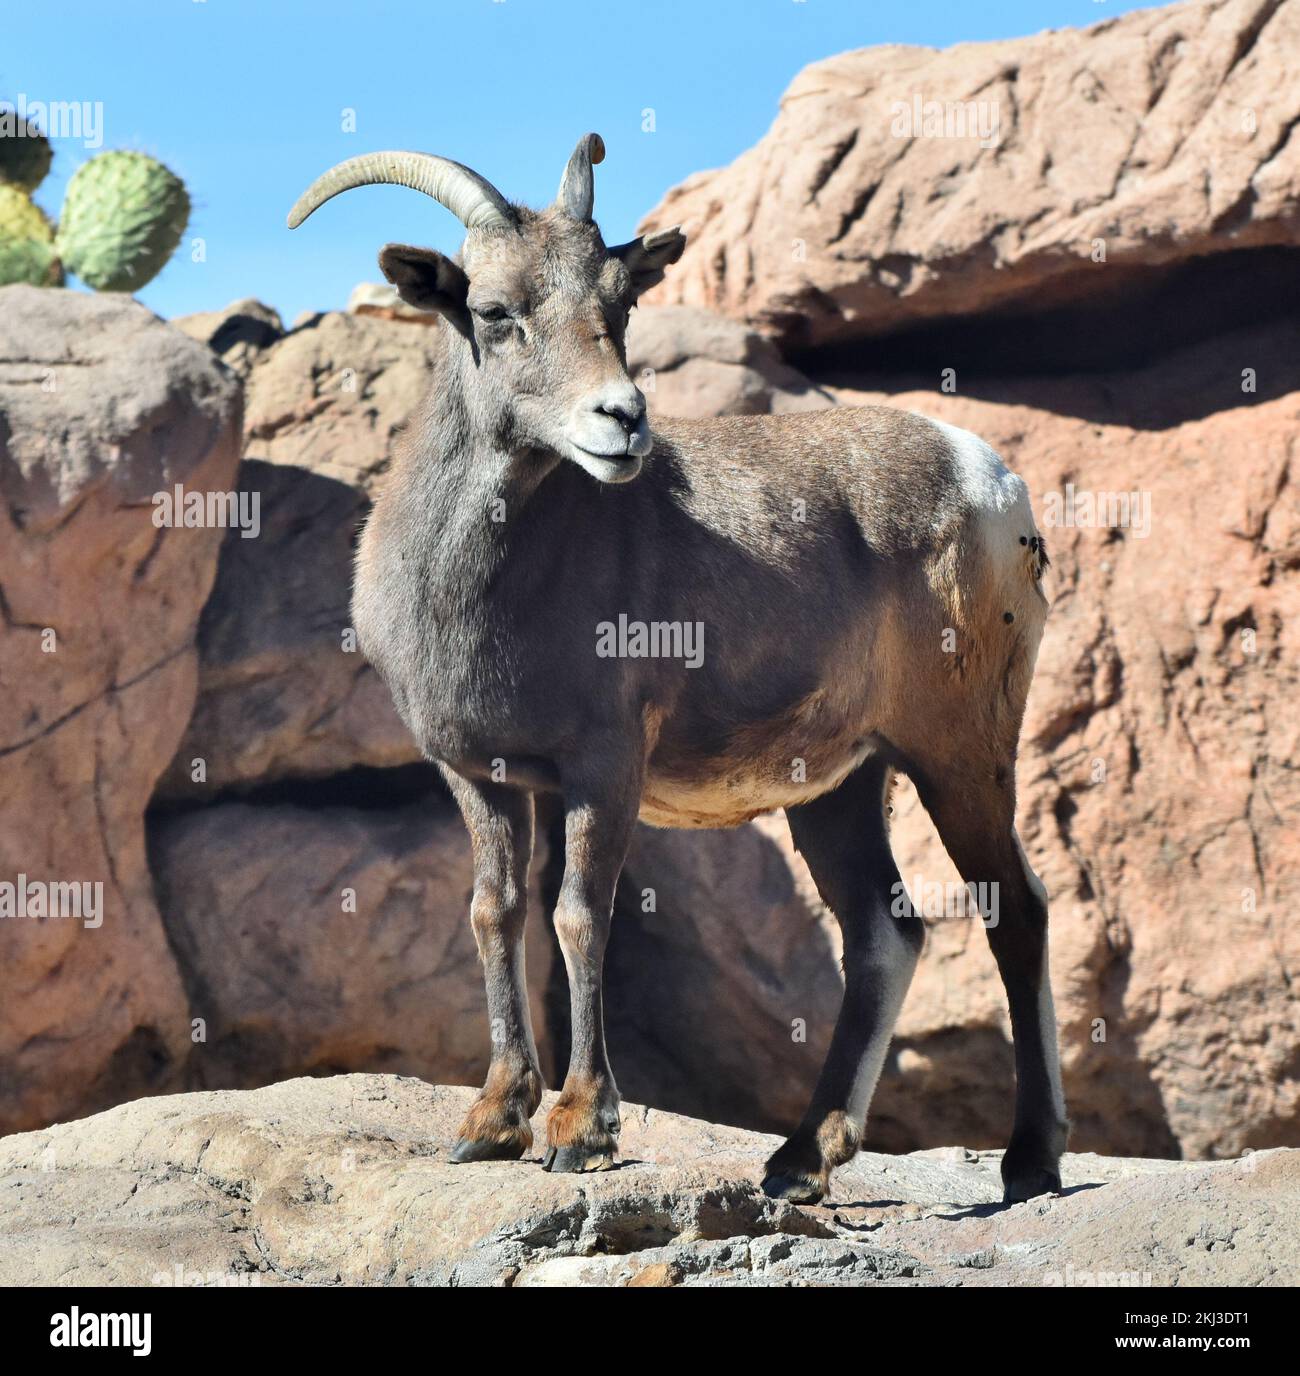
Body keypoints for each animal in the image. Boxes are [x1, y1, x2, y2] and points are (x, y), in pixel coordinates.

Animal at [287, 134, 1068, 1204]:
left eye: (618, 306)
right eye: (494, 312)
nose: (620, 421)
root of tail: (993, 484)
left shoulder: (604, 767)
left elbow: (579, 918)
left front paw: (578, 1129)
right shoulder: (479, 777)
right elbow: (496, 914)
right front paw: (491, 1122)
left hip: (960, 755)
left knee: (1013, 911)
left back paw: (1030, 1162)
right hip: (840, 786)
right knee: (885, 932)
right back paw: (798, 1162)